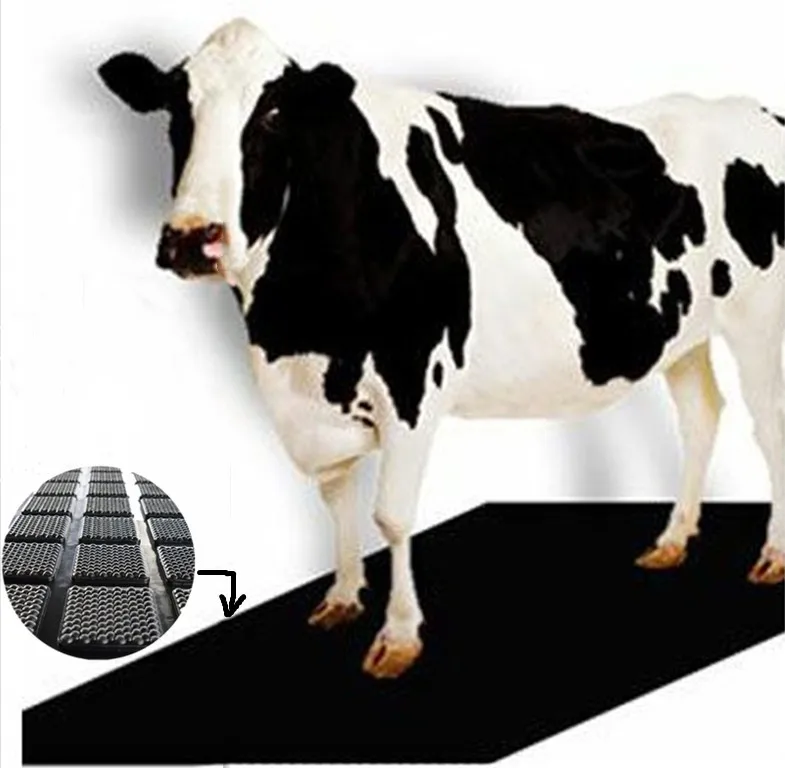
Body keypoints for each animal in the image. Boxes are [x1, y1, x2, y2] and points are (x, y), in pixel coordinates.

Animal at [98, 18, 785, 678]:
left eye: (270, 114)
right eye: (176, 110)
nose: (193, 238)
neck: (294, 328)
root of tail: (753, 110)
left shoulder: (411, 380)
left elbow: (393, 516)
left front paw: (399, 637)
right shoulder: (310, 396)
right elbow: (336, 495)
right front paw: (342, 597)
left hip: (761, 322)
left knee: (770, 428)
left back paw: (772, 554)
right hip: (682, 330)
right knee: (701, 416)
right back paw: (673, 540)